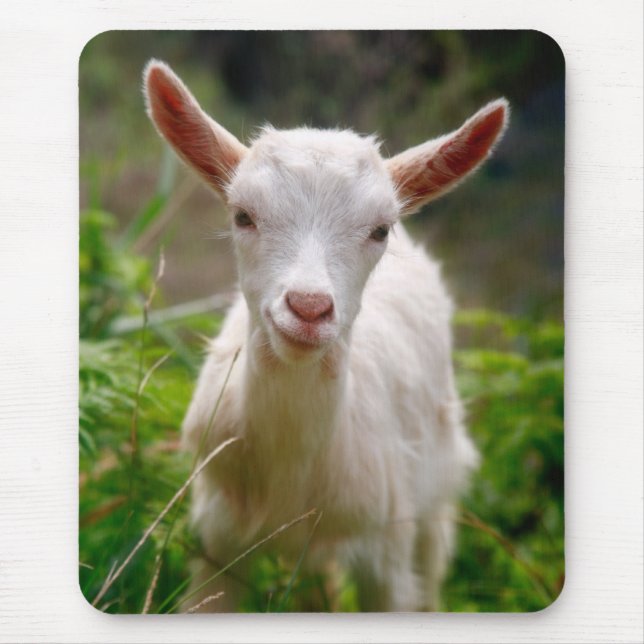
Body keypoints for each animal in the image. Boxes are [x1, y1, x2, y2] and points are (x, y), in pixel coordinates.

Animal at [144, 59, 508, 612]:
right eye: (242, 215)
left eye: (380, 230)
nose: (309, 308)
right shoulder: (215, 538)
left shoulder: (386, 547)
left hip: (438, 482)